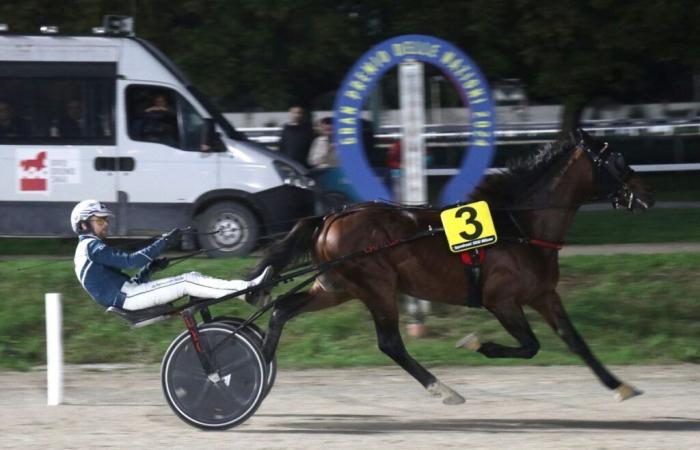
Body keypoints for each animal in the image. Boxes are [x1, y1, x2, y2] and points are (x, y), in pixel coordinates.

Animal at [253, 129, 656, 404]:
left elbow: (574, 340)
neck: (519, 226)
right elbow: (530, 345)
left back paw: (264, 362)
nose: (647, 195)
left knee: (283, 309)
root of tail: (330, 218)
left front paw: (620, 385)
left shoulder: (543, 294)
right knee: (390, 343)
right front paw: (478, 343)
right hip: (376, 287)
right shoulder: (501, 301)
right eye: (618, 160)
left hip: (337, 287)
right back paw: (443, 389)